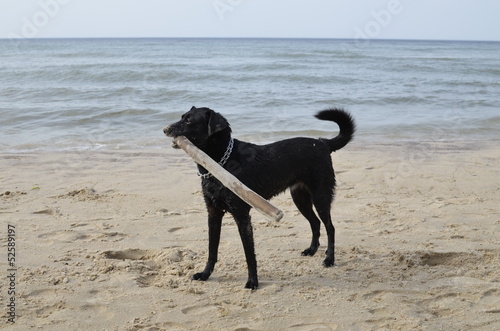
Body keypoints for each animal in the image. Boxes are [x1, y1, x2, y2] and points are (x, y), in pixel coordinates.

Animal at [162, 107, 354, 290]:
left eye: (188, 121)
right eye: (182, 117)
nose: (165, 129)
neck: (220, 163)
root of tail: (322, 143)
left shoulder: (242, 216)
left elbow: (249, 254)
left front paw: (253, 282)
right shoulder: (213, 214)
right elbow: (212, 250)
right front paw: (205, 274)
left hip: (321, 196)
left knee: (330, 227)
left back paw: (329, 259)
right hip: (300, 198)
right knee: (315, 222)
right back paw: (312, 250)